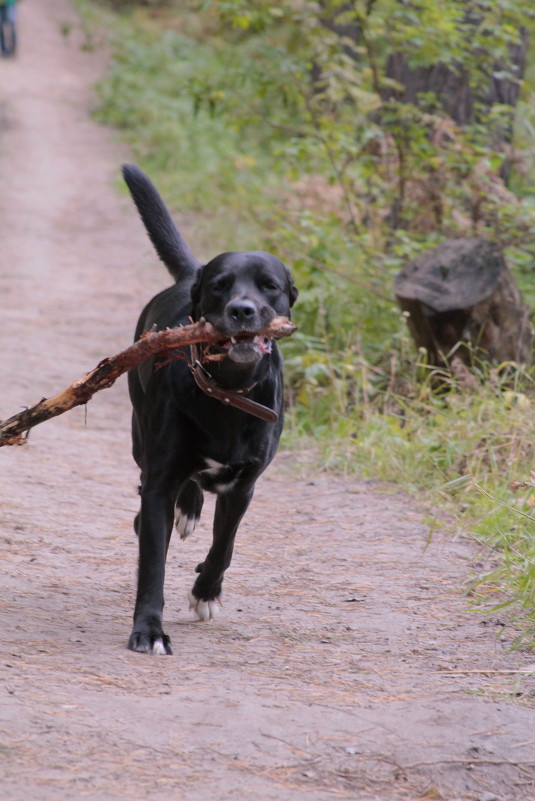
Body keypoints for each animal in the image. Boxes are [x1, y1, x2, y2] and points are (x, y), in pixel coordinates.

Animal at [121, 166, 298, 652]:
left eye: (269, 286)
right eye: (221, 286)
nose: (242, 310)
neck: (228, 391)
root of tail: (188, 276)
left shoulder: (244, 486)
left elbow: (225, 547)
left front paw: (205, 592)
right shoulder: (159, 482)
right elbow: (153, 565)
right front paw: (149, 630)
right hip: (141, 439)